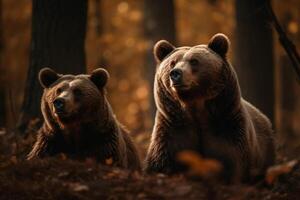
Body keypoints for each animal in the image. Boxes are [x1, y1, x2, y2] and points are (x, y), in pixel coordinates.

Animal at [146, 33, 276, 182]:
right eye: (172, 62)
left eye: (194, 61)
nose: (175, 73)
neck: (195, 106)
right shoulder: (173, 129)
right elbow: (162, 160)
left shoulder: (226, 125)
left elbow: (231, 159)